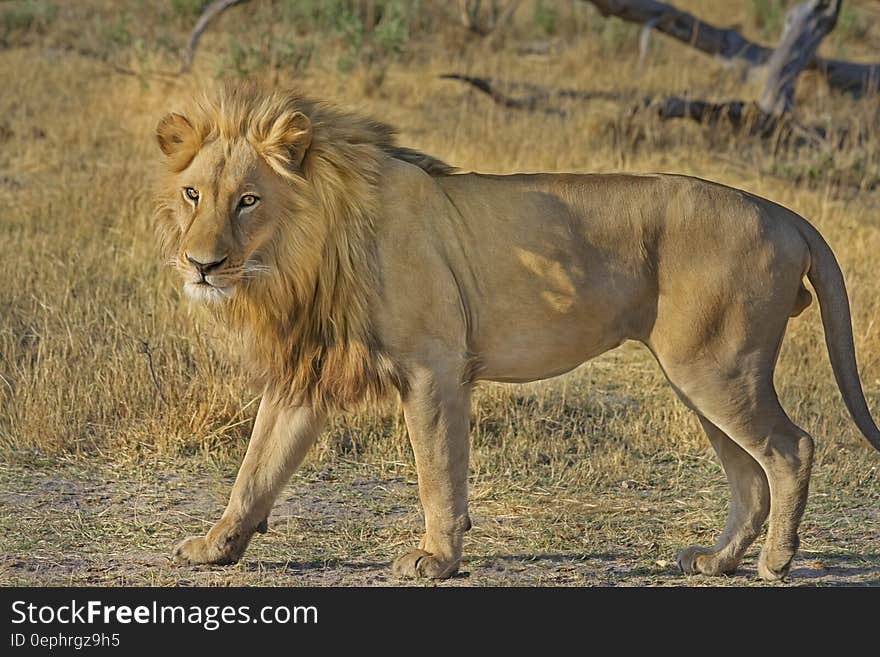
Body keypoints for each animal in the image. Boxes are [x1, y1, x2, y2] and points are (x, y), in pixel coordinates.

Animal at [156, 83, 880, 580]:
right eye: (194, 194)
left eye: (249, 199)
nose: (200, 264)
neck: (302, 254)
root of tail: (782, 211)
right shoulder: (307, 373)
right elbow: (256, 469)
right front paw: (215, 547)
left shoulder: (434, 366)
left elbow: (437, 473)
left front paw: (435, 559)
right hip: (700, 375)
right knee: (749, 476)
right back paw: (718, 560)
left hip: (716, 368)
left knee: (791, 448)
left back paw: (777, 562)